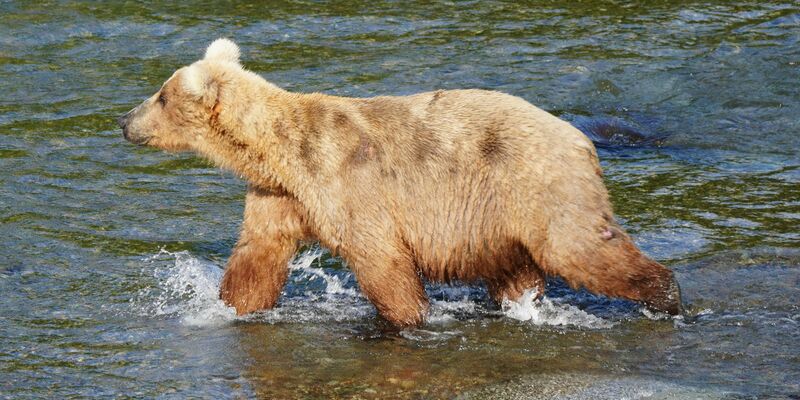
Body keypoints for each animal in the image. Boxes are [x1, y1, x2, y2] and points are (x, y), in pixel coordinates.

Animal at [118, 39, 682, 327]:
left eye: (161, 95)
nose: (124, 120)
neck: (279, 153)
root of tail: (582, 138)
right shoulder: (280, 195)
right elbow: (258, 255)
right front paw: (225, 304)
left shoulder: (347, 182)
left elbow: (380, 259)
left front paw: (410, 319)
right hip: (499, 221)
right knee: (516, 271)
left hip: (537, 185)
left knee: (581, 246)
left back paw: (666, 296)